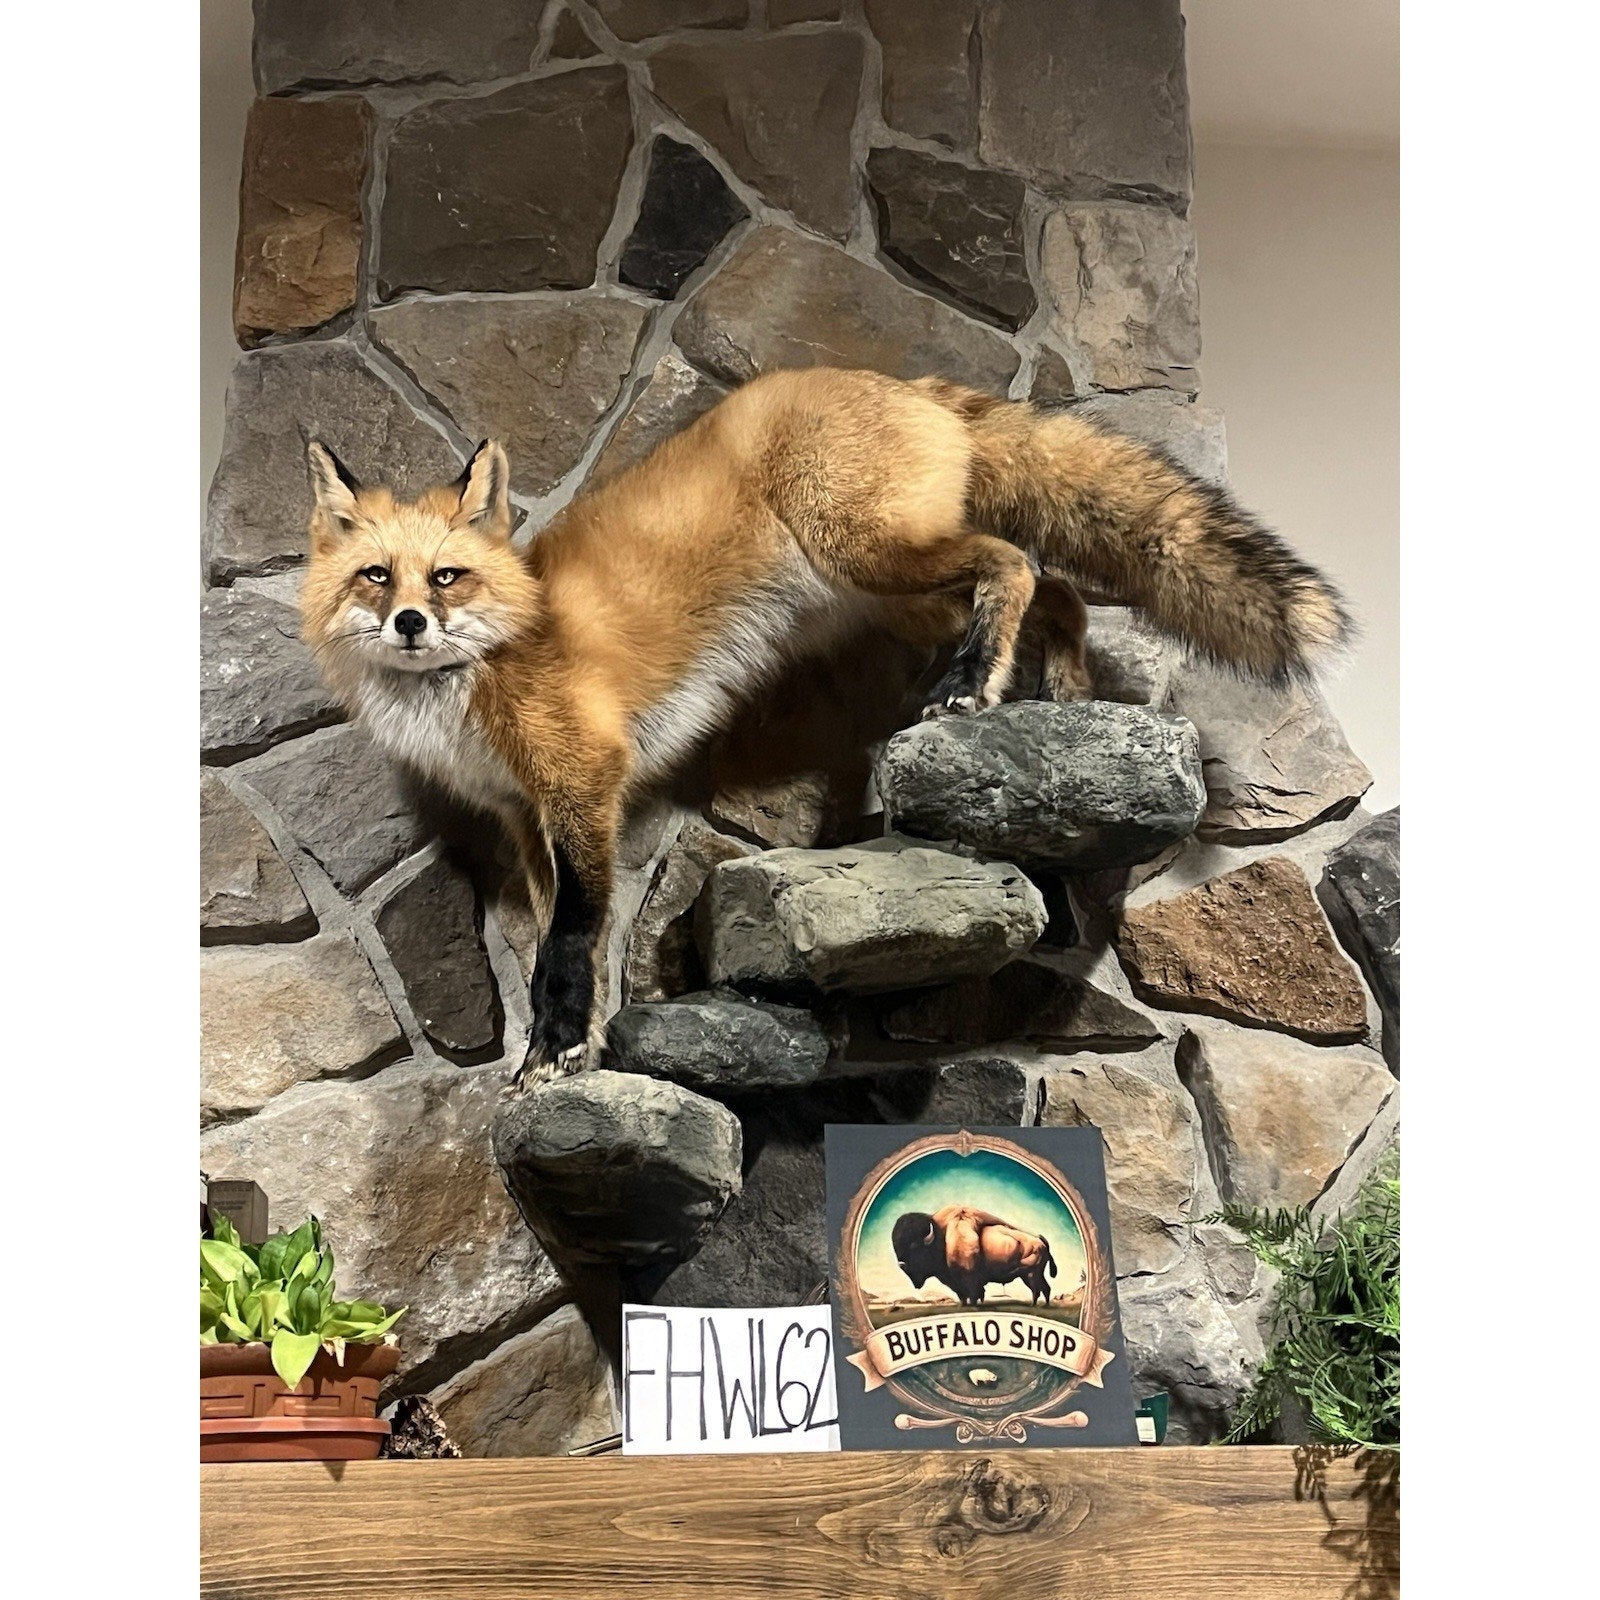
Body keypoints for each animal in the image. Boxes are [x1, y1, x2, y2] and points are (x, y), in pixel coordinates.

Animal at [299, 365, 1351, 1086]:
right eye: (375, 578)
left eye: (446, 577)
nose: (409, 624)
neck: (473, 681)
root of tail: (896, 379)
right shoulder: (528, 818)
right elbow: (574, 946)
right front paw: (578, 1049)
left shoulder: (584, 781)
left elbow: (568, 941)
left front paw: (554, 1053)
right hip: (897, 593)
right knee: (1057, 592)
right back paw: (1057, 694)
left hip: (873, 553)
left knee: (1014, 561)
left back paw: (974, 686)